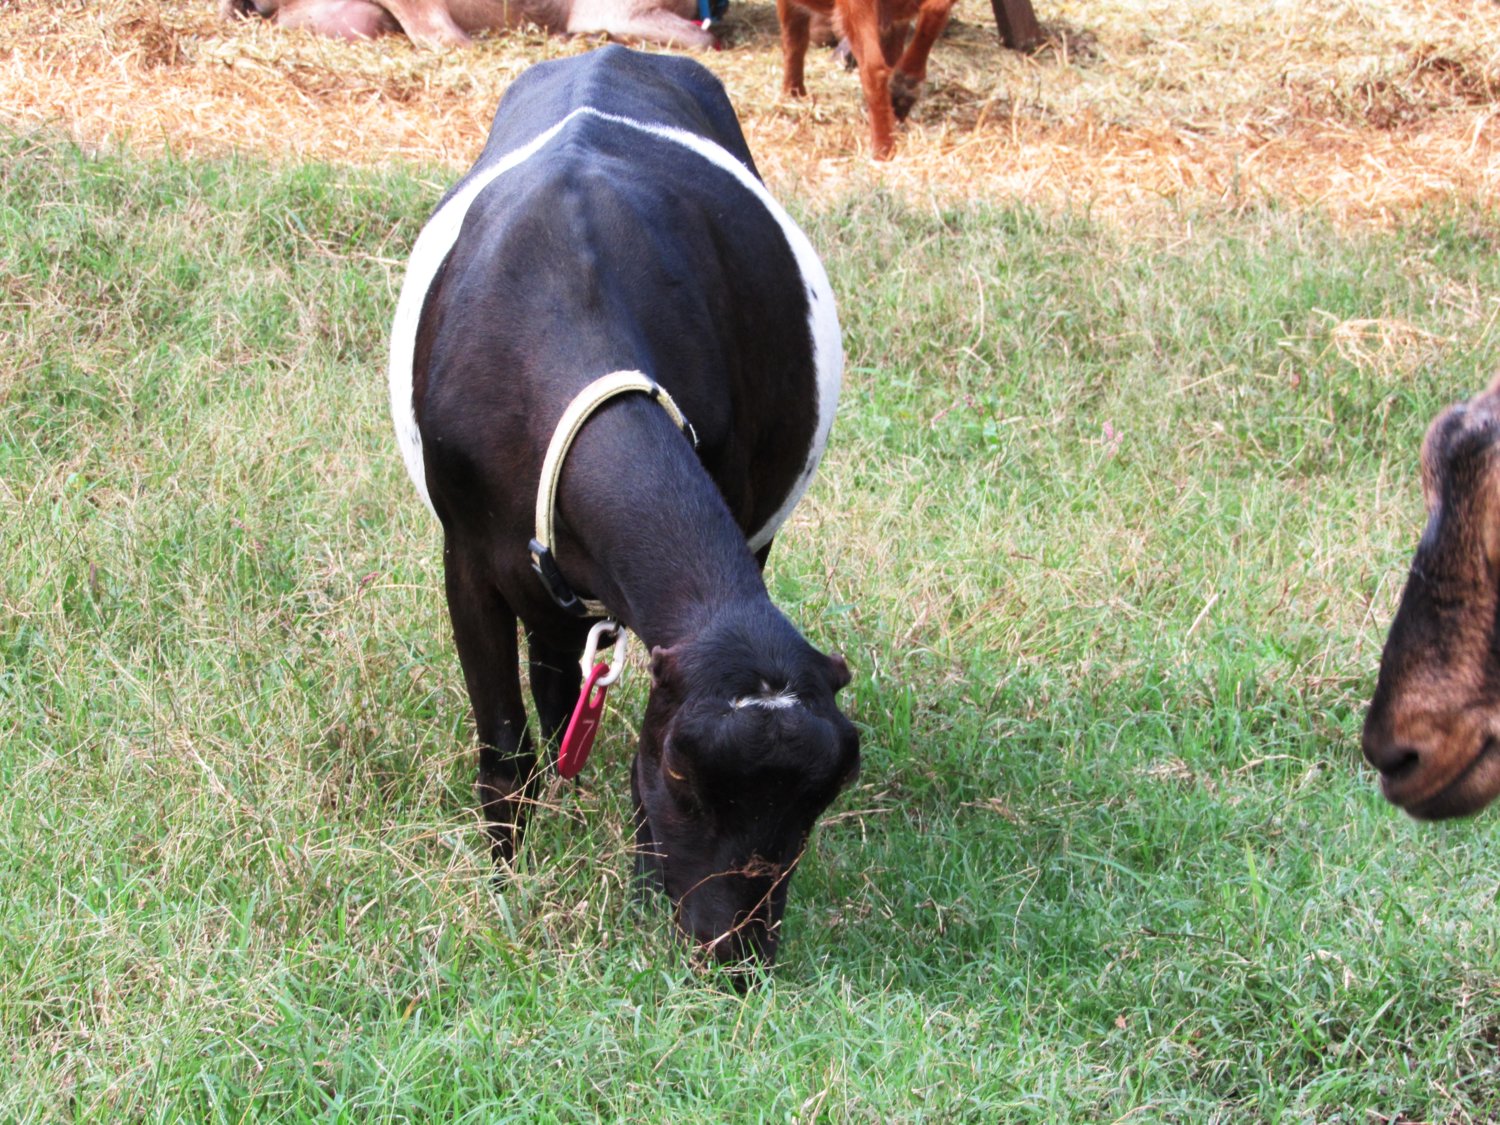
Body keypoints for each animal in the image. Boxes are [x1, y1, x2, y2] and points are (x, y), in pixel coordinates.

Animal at [387, 46, 860, 976]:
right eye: (682, 775)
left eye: (818, 801)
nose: (733, 950)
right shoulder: (467, 558)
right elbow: (505, 745)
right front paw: (505, 882)